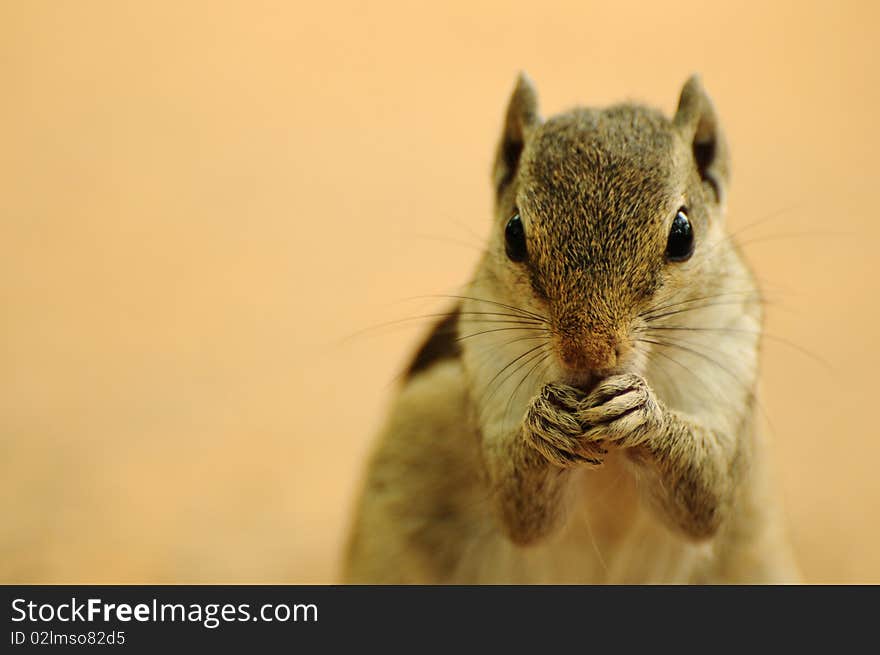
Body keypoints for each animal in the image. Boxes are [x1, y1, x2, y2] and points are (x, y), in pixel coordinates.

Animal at [340, 73, 800, 584]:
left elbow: (708, 497)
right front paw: (545, 424)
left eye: (683, 235)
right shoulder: (485, 360)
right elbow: (520, 511)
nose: (588, 355)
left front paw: (641, 413)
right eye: (513, 233)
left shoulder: (728, 351)